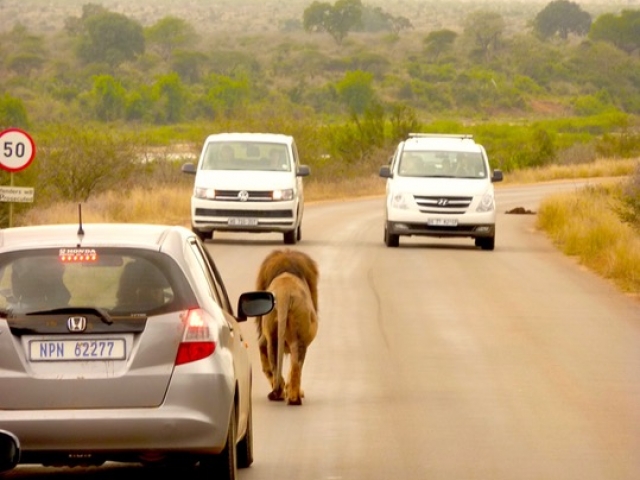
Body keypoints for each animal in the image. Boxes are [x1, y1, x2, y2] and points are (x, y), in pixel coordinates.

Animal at [255, 248, 320, 404]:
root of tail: (284, 291)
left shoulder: (264, 338)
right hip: (298, 338)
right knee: (296, 365)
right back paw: (293, 397)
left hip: (273, 336)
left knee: (277, 363)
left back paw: (283, 394)